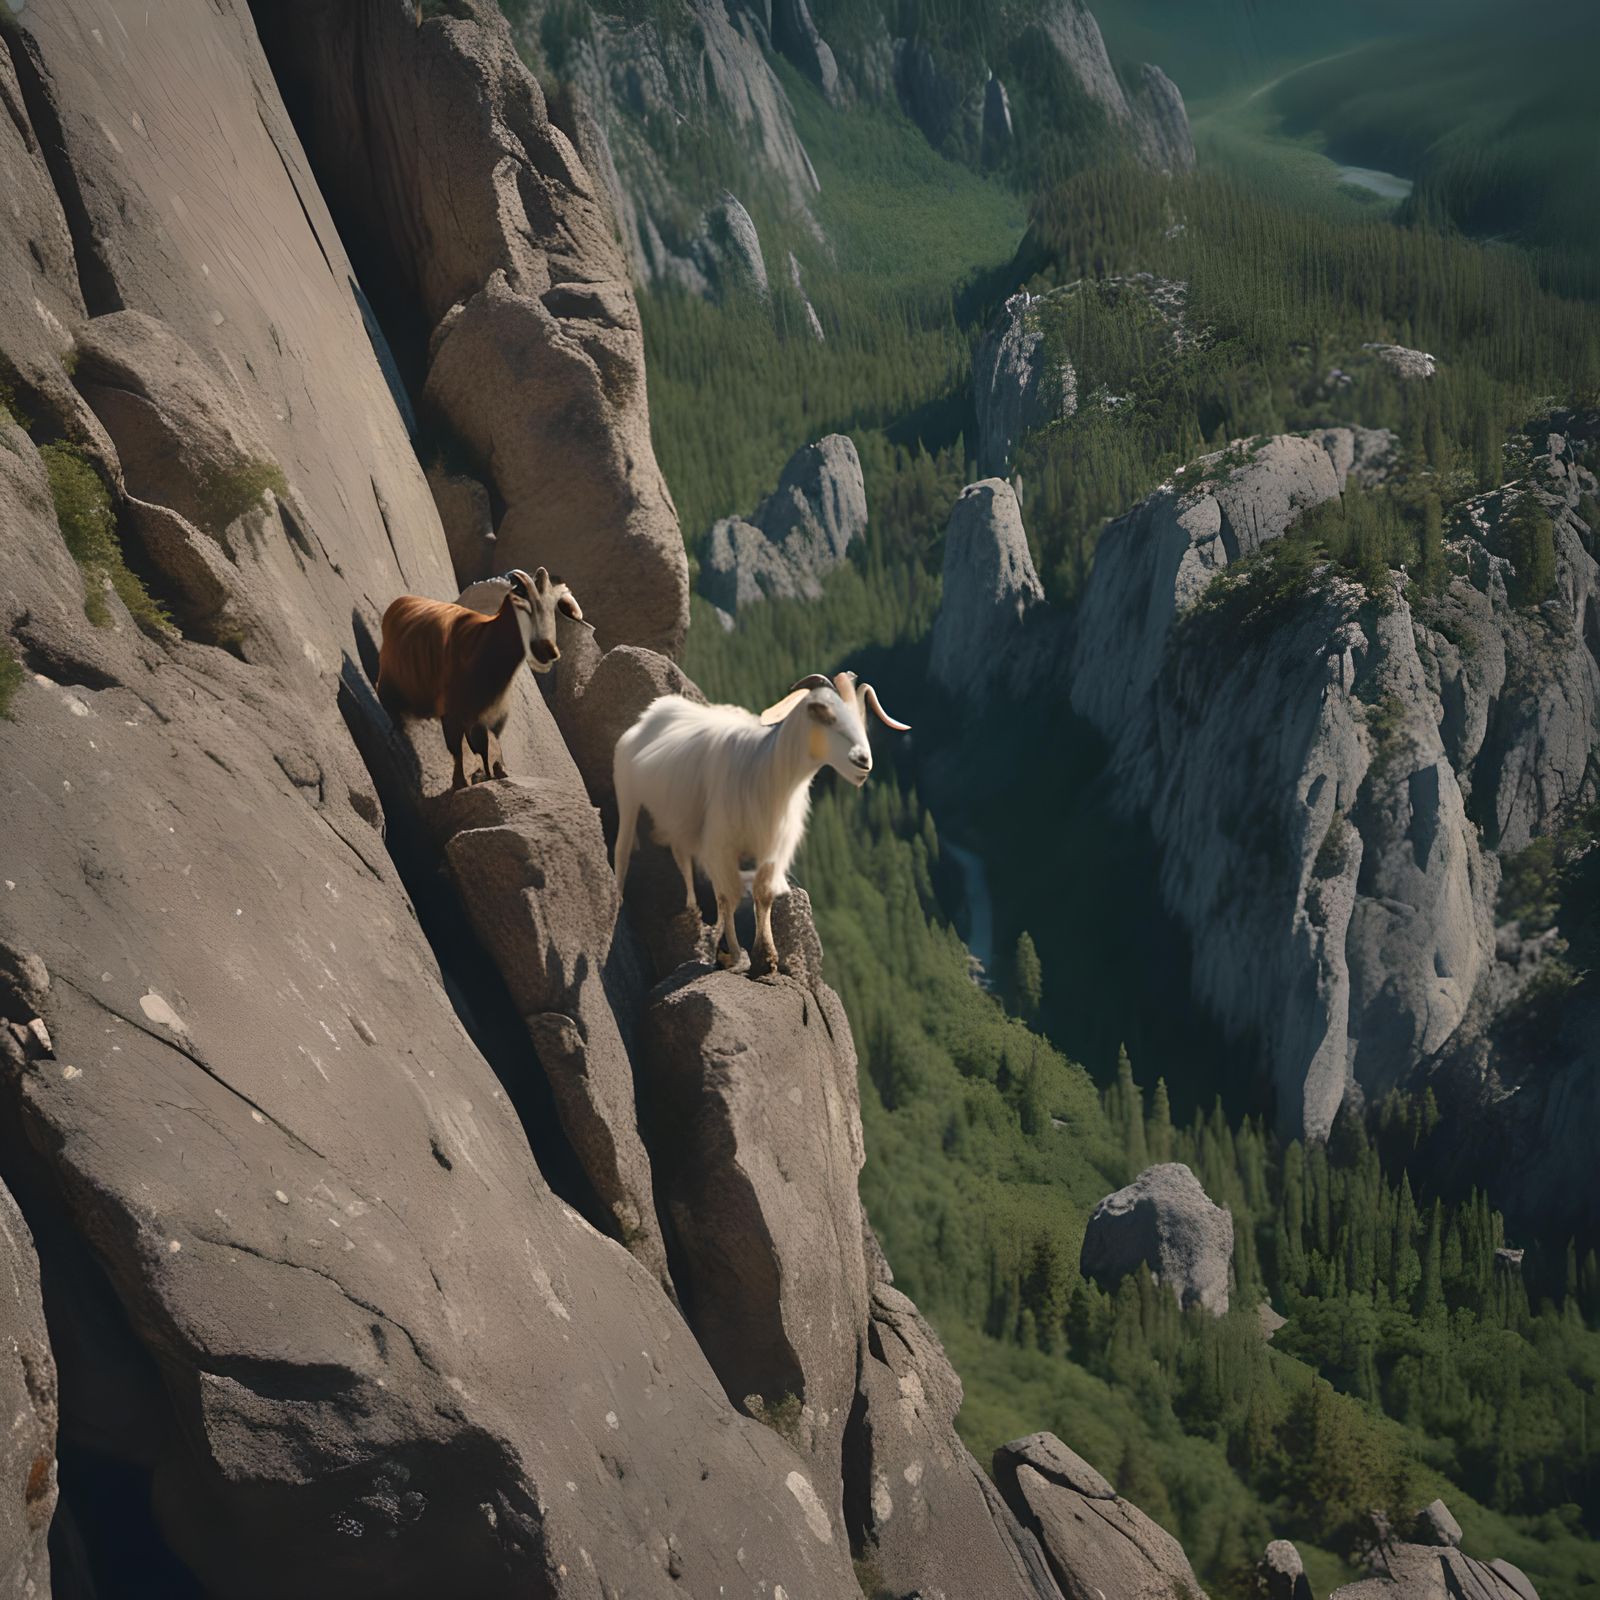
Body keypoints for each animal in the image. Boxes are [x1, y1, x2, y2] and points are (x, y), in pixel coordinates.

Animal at [376, 566, 582, 789]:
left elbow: (486, 748)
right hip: (389, 685)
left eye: (553, 609)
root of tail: (403, 600)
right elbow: (459, 750)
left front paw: (494, 774)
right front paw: (460, 782)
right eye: (525, 605)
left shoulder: (490, 720)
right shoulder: (453, 715)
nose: (549, 650)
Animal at [612, 671, 910, 973]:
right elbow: (728, 896)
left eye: (863, 717)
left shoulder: (771, 847)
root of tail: (648, 716)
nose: (862, 761)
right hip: (627, 793)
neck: (768, 771)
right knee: (623, 849)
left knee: (681, 856)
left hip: (678, 818)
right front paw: (732, 953)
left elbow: (762, 893)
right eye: (820, 710)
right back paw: (619, 898)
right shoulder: (721, 843)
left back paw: (692, 909)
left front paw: (765, 958)